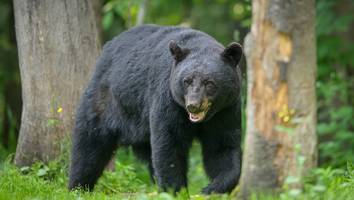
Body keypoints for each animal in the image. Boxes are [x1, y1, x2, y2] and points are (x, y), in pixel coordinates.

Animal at [68, 23, 242, 194]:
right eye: (187, 81)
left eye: (209, 82)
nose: (193, 105)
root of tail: (107, 47)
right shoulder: (168, 99)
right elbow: (169, 144)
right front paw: (175, 190)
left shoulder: (226, 110)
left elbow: (222, 147)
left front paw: (212, 187)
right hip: (106, 100)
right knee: (90, 143)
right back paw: (78, 187)